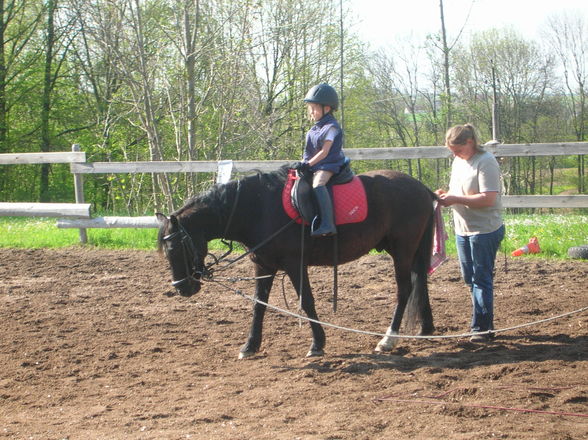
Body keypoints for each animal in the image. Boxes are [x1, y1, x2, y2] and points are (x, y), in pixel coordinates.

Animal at [156, 167, 436, 360]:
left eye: (177, 247)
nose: (182, 287)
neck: (258, 208)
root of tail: (422, 188)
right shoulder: (263, 265)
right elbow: (259, 305)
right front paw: (250, 346)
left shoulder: (294, 264)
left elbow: (307, 301)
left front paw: (317, 344)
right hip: (411, 250)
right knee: (420, 283)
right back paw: (426, 328)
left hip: (402, 249)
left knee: (404, 290)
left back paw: (388, 339)